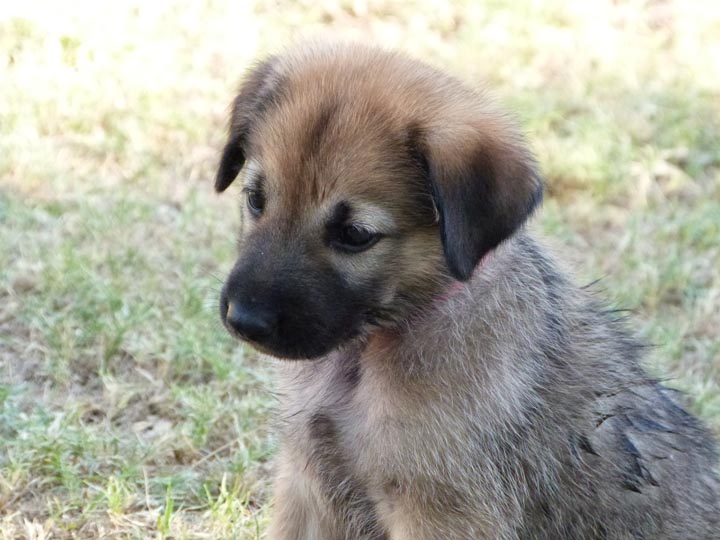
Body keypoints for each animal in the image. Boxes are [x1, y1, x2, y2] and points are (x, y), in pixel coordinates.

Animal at [215, 43, 720, 540]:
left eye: (355, 235)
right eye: (256, 199)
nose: (244, 320)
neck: (366, 356)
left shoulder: (440, 510)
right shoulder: (305, 484)